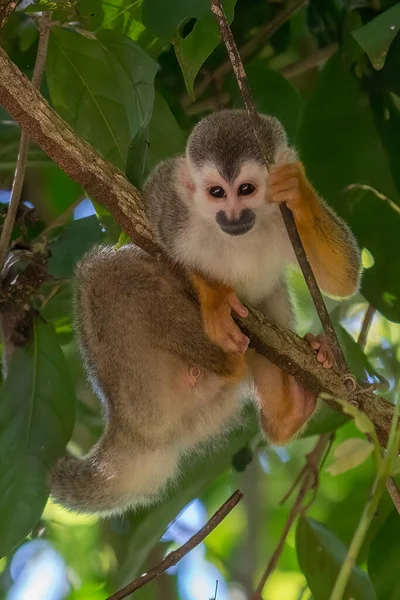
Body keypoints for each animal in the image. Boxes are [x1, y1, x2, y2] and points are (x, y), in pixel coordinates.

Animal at [49, 110, 360, 512]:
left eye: (246, 189)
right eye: (217, 193)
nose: (233, 215)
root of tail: (126, 429)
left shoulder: (285, 222)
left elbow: (343, 277)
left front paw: (297, 190)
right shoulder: (172, 207)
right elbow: (148, 230)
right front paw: (213, 298)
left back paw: (288, 408)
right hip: (138, 385)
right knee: (106, 273)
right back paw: (228, 355)